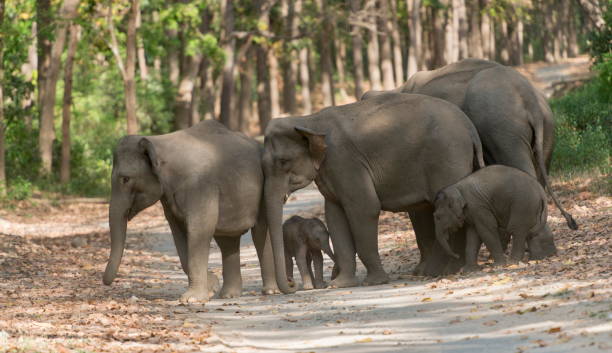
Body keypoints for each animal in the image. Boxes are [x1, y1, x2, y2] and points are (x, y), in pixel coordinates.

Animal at [103, 119, 280, 302]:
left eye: (125, 179)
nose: (106, 283)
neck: (159, 141)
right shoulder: (168, 197)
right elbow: (178, 231)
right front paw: (210, 287)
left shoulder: (200, 187)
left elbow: (200, 228)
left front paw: (193, 298)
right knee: (227, 239)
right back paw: (228, 295)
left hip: (266, 189)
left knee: (260, 232)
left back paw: (270, 291)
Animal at [260, 93, 486, 292]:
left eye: (283, 161)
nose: (291, 286)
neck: (310, 121)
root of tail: (469, 126)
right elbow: (335, 216)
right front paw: (340, 284)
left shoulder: (345, 161)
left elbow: (364, 209)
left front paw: (374, 282)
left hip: (448, 159)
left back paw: (443, 271)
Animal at [432, 164, 572, 270]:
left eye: (437, 217)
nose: (456, 255)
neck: (456, 187)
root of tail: (541, 190)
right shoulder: (473, 212)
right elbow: (473, 235)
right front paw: (468, 270)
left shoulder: (478, 207)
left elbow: (486, 231)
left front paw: (498, 265)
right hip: (533, 209)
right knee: (528, 232)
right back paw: (534, 259)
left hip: (523, 205)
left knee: (517, 229)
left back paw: (512, 262)